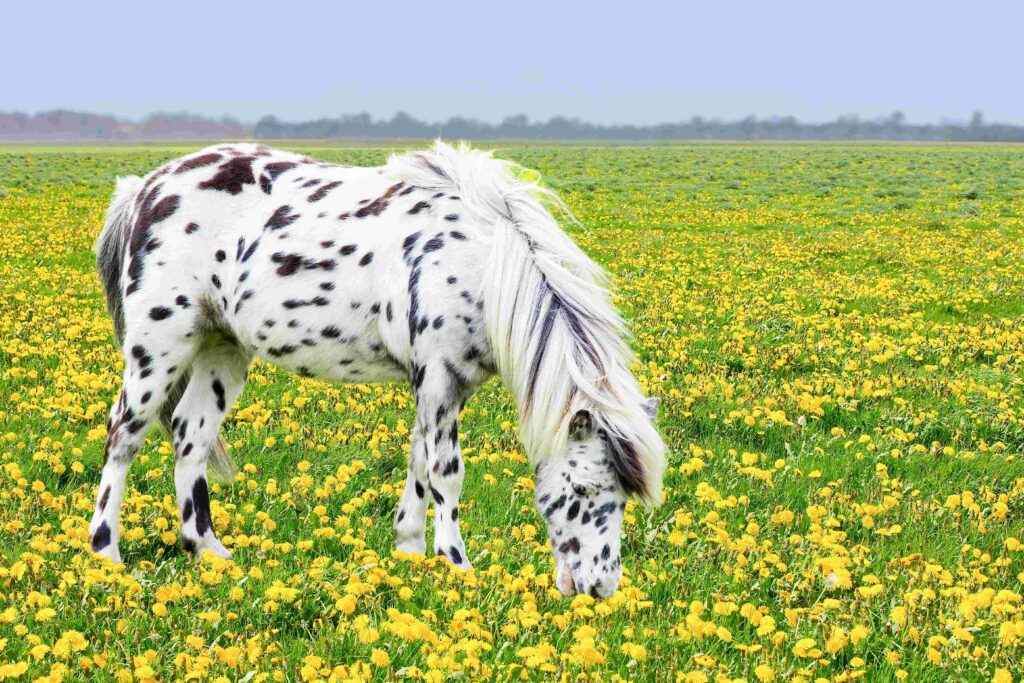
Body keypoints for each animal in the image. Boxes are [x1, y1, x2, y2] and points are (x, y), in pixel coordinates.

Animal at [86, 141, 663, 593]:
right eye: (584, 491)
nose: (599, 588)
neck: (481, 259)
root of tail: (144, 188)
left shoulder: (439, 385)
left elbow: (418, 463)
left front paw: (409, 551)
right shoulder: (440, 378)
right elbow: (447, 473)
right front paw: (456, 564)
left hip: (221, 347)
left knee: (191, 435)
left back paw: (209, 551)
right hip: (158, 347)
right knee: (124, 436)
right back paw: (106, 554)